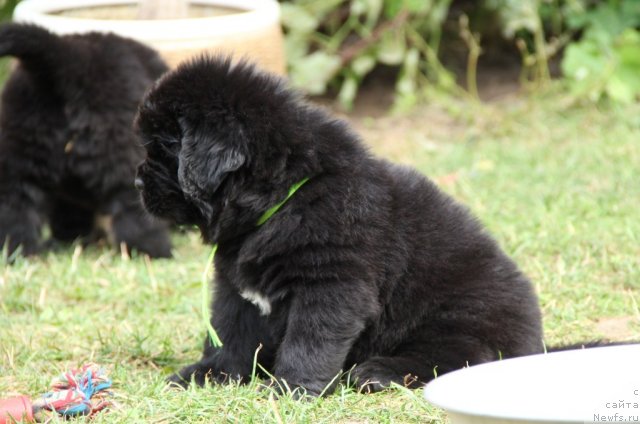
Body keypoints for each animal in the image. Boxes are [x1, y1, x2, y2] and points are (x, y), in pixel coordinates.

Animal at [0, 24, 172, 258]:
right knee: (132, 209)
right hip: (122, 157)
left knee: (14, 207)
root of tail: (67, 58)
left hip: (20, 154)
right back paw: (153, 250)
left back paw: (19, 252)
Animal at [135, 55, 544, 394]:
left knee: (458, 357)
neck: (283, 197)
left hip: (459, 317)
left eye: (165, 146)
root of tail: (534, 344)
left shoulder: (331, 283)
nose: (137, 182)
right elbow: (229, 332)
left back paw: (376, 373)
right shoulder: (235, 289)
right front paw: (209, 374)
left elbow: (310, 340)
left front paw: (291, 388)